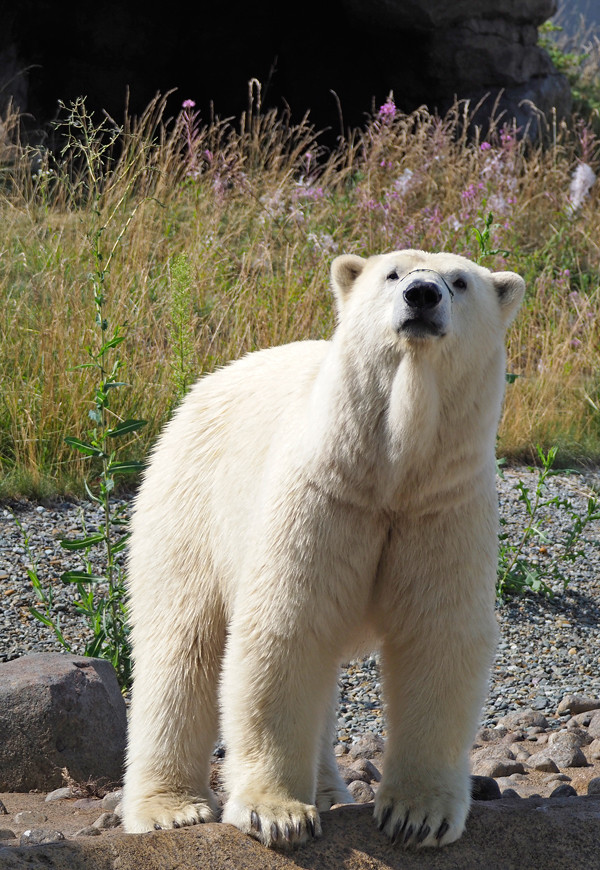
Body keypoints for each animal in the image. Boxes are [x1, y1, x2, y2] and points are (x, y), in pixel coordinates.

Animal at [123, 250, 524, 852]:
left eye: (459, 281)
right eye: (393, 273)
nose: (422, 295)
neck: (390, 473)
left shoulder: (443, 505)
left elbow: (438, 638)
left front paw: (417, 816)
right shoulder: (322, 495)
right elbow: (288, 627)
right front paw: (278, 815)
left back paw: (332, 792)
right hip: (189, 501)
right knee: (181, 644)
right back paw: (172, 809)